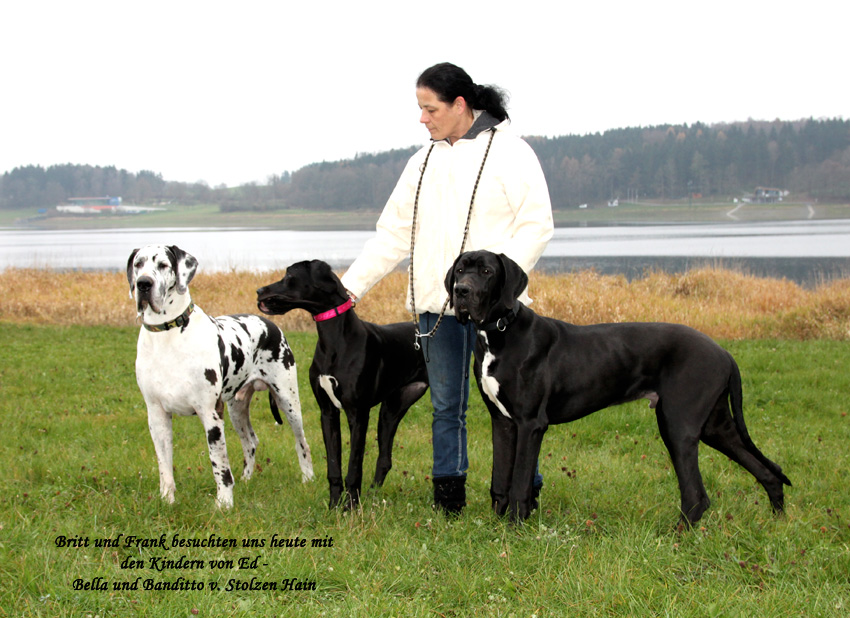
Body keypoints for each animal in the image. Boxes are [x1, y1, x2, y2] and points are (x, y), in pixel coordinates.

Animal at [127, 245, 314, 508]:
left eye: (163, 265)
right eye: (138, 264)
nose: (144, 283)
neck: (167, 336)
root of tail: (269, 323)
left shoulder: (211, 413)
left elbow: (219, 464)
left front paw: (224, 503)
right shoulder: (156, 415)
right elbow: (164, 465)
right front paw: (167, 499)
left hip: (288, 401)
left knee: (302, 441)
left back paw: (308, 478)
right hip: (237, 409)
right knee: (251, 442)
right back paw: (246, 479)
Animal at [256, 259, 429, 509]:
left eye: (289, 275)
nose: (259, 291)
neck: (334, 338)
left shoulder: (358, 413)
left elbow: (354, 466)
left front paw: (351, 507)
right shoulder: (327, 412)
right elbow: (333, 465)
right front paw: (334, 505)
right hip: (392, 409)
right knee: (384, 459)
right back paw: (373, 498)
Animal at [446, 250, 791, 524]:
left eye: (487, 272)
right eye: (461, 269)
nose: (461, 291)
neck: (498, 332)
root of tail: (724, 352)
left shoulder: (530, 423)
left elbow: (519, 483)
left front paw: (515, 529)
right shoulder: (503, 422)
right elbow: (500, 480)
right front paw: (497, 527)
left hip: (678, 425)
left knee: (696, 495)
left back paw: (677, 537)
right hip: (714, 425)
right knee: (767, 471)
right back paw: (777, 520)